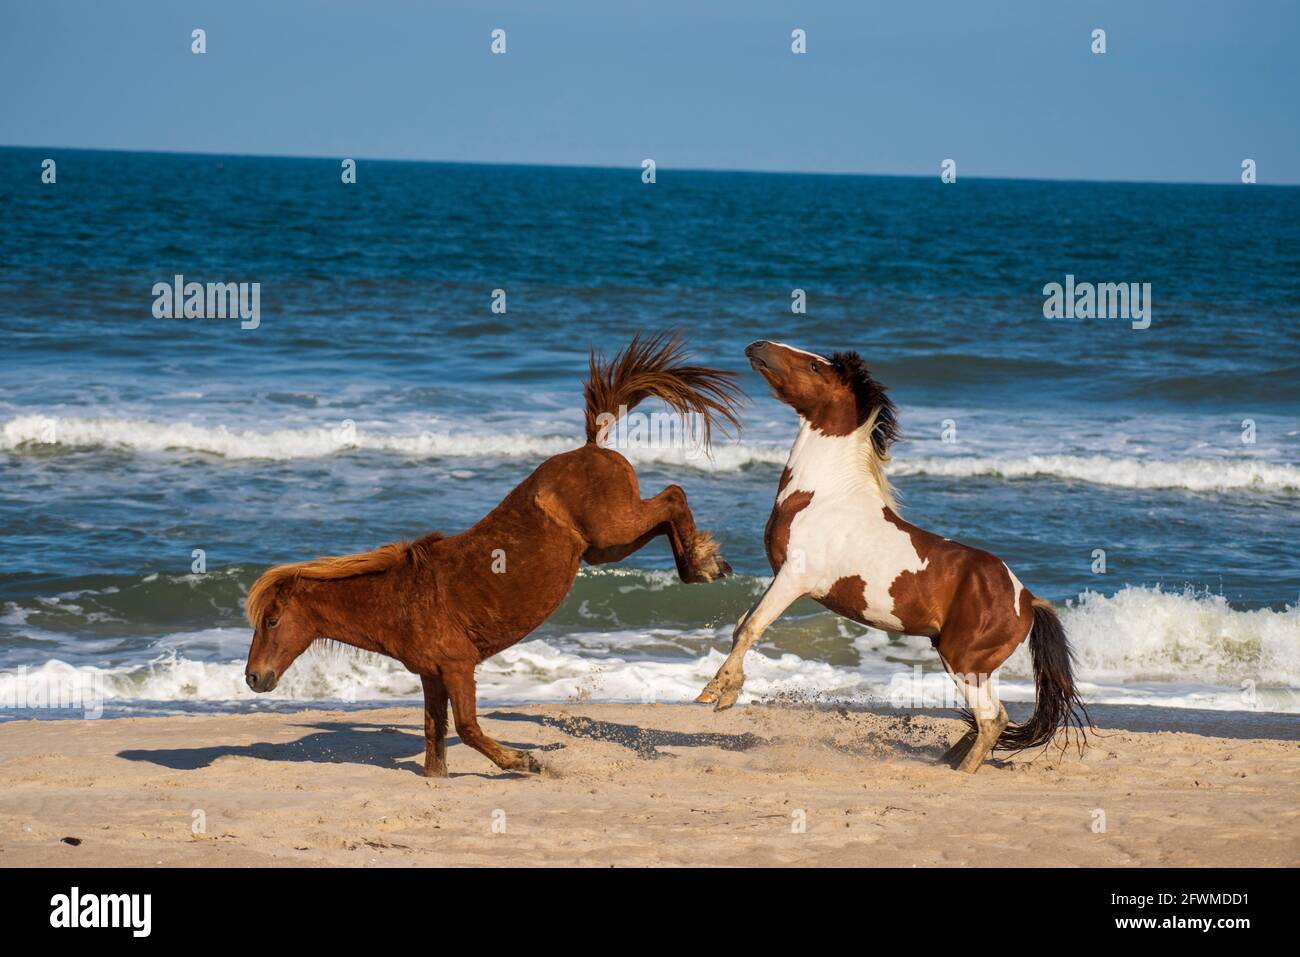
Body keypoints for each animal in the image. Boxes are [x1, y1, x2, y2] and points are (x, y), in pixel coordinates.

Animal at [244, 335, 743, 780]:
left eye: (271, 620)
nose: (253, 678)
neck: (400, 599)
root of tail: (591, 447)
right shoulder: (432, 676)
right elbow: (434, 733)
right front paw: (440, 777)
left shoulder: (458, 666)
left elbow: (466, 727)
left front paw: (526, 763)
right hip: (607, 547)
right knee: (666, 515)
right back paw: (701, 563)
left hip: (614, 529)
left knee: (673, 497)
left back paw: (702, 565)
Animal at [696, 340, 1092, 774]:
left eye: (816, 367)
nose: (758, 347)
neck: (823, 496)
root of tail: (1027, 598)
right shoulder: (780, 576)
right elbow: (742, 624)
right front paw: (728, 693)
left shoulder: (794, 579)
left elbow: (751, 628)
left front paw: (713, 691)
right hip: (973, 665)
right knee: (993, 718)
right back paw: (946, 762)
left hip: (964, 662)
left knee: (991, 719)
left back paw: (960, 773)